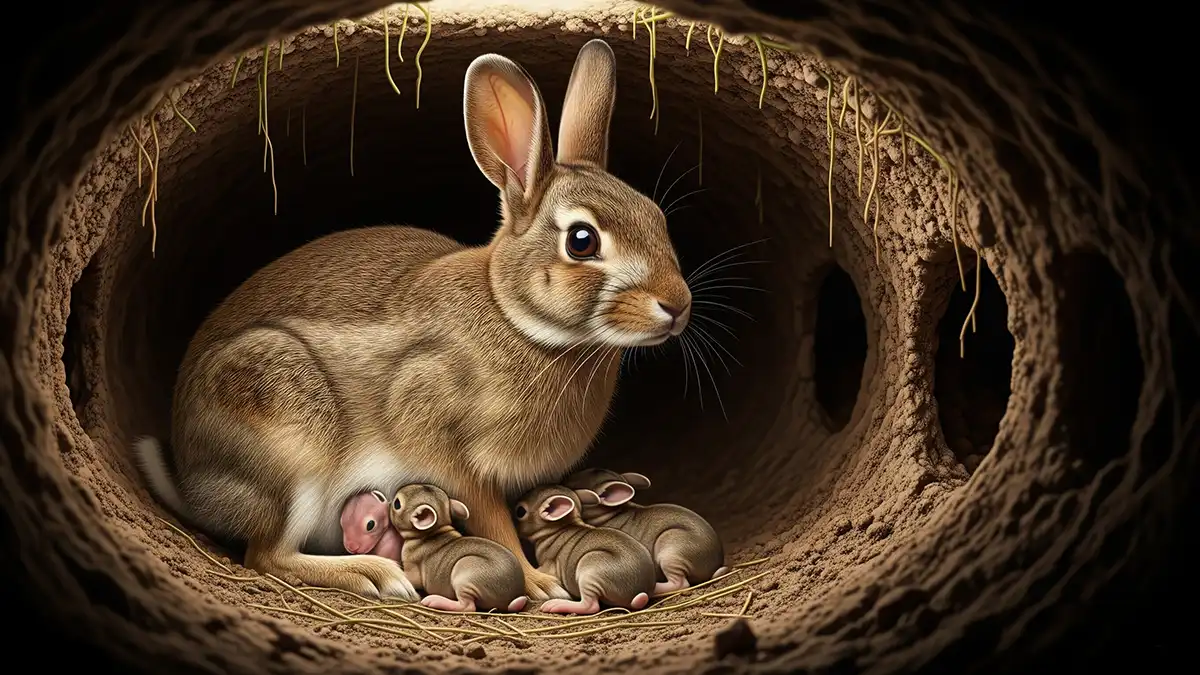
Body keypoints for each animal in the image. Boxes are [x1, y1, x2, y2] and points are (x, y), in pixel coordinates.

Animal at [390, 484, 528, 612]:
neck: (432, 532)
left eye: (397, 504)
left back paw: (434, 600)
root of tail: (509, 600)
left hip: (465, 574)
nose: (390, 502)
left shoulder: (412, 565)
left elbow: (409, 578)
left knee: (468, 606)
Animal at [515, 485, 656, 615]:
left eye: (520, 511)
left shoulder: (549, 564)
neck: (558, 528)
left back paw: (555, 605)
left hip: (591, 569)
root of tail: (640, 592)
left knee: (591, 605)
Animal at [563, 468, 728, 594]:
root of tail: (711, 566)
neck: (612, 512)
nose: (564, 479)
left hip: (671, 549)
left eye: (573, 485)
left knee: (680, 583)